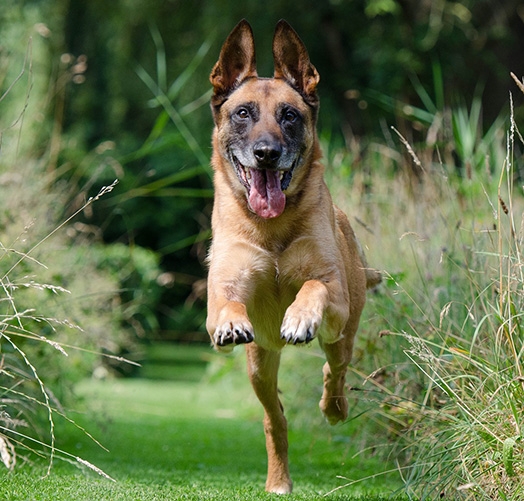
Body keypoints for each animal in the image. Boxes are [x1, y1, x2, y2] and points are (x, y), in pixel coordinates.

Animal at [206, 19, 380, 492]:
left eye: (290, 115)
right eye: (243, 113)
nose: (266, 153)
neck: (271, 229)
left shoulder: (333, 291)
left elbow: (314, 287)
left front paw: (299, 316)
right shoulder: (224, 288)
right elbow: (226, 303)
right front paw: (231, 322)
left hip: (343, 334)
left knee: (334, 372)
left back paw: (334, 407)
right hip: (259, 365)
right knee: (275, 419)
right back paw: (278, 479)